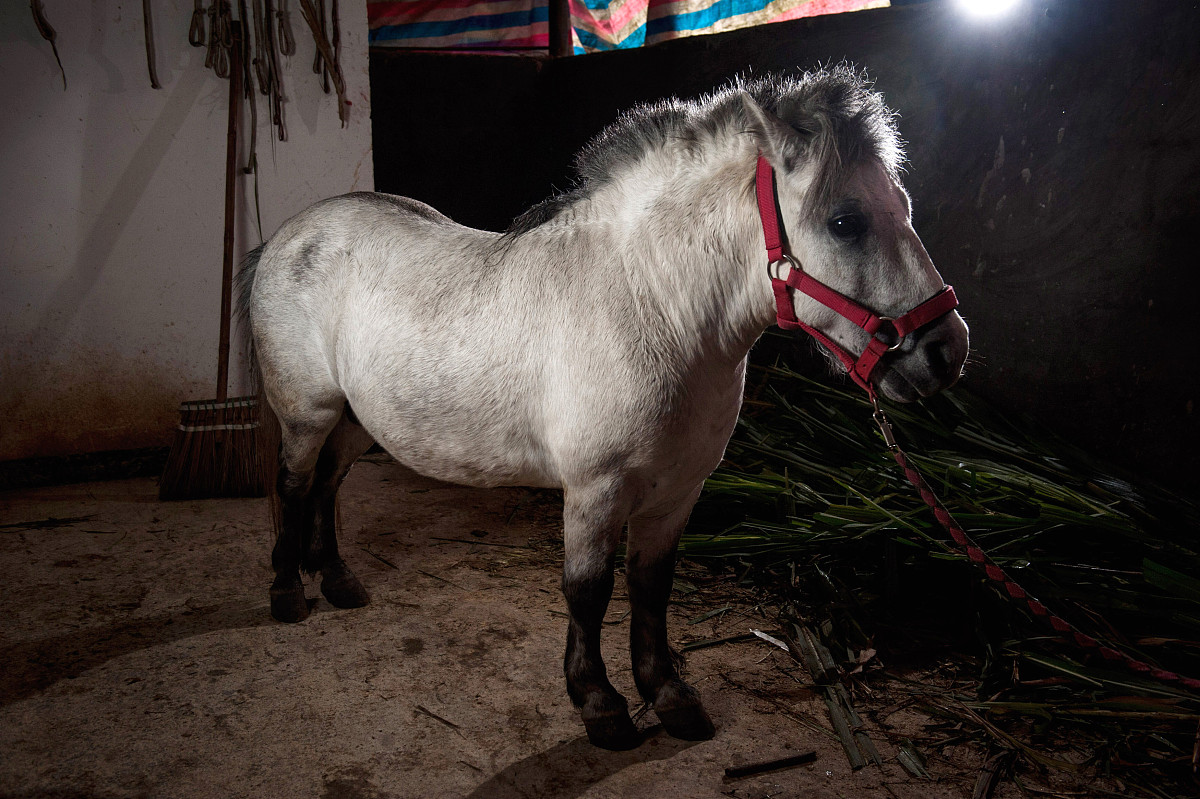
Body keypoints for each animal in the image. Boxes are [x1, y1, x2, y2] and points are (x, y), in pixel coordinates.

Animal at [237, 65, 969, 751]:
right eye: (845, 222)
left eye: (903, 204)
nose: (946, 352)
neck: (656, 308)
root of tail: (287, 234)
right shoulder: (596, 488)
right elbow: (588, 592)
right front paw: (600, 704)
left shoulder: (679, 491)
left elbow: (650, 588)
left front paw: (668, 695)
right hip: (308, 411)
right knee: (294, 484)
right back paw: (288, 591)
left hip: (355, 420)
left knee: (328, 485)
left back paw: (337, 580)